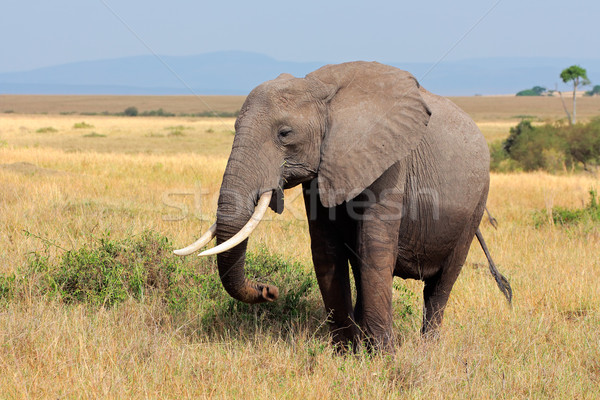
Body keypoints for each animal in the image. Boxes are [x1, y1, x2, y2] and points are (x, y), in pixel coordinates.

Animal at [173, 61, 510, 352]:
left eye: (285, 134)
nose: (268, 290)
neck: (321, 89)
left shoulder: (390, 162)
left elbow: (374, 249)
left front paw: (383, 360)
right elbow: (326, 250)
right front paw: (347, 355)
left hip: (476, 201)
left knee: (441, 285)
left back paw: (427, 351)